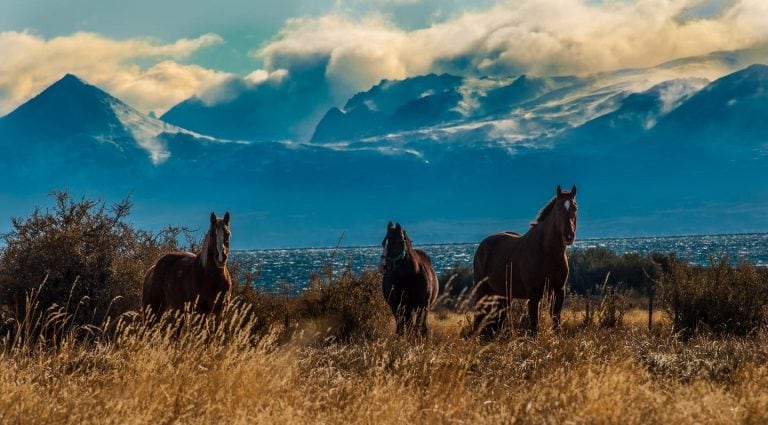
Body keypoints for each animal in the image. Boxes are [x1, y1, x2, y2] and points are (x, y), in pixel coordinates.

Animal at [472, 184, 580, 336]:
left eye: (575, 208)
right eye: (558, 208)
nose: (569, 235)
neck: (547, 252)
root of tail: (481, 246)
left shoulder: (558, 291)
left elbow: (556, 320)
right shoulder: (534, 295)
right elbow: (534, 326)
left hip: (503, 296)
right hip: (482, 292)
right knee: (479, 318)